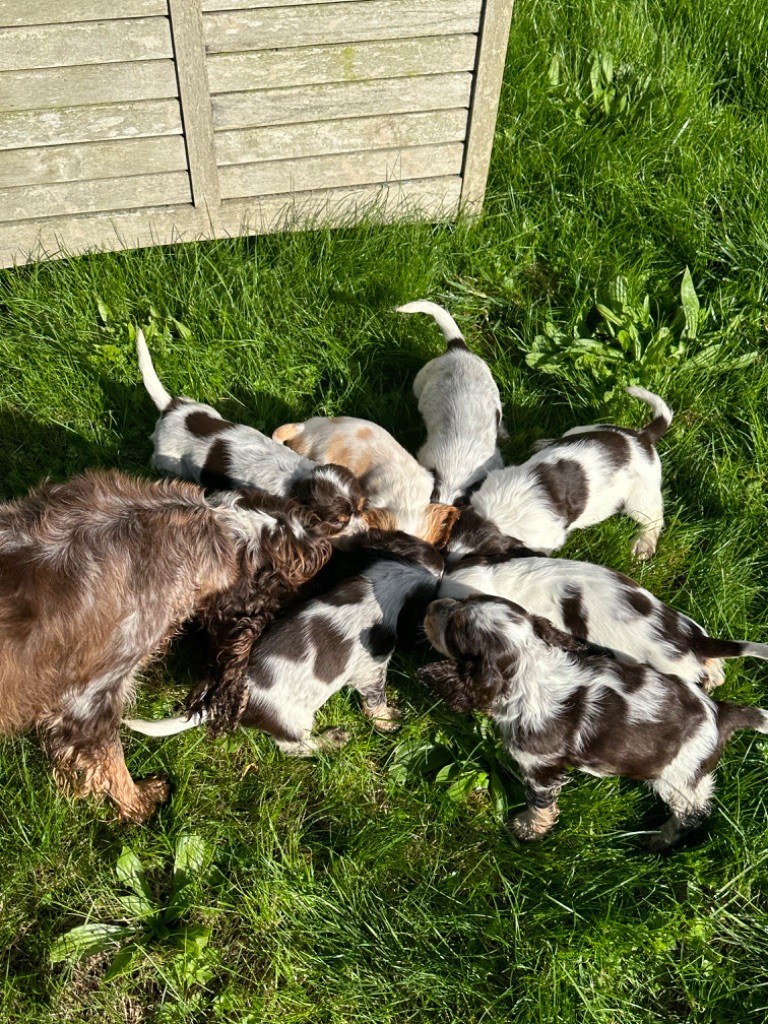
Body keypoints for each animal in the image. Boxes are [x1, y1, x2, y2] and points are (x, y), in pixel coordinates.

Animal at [126, 532, 448, 757]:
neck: (387, 578)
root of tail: (219, 706)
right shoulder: (371, 670)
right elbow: (376, 700)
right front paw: (389, 720)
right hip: (294, 720)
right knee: (294, 748)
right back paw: (333, 740)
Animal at [421, 593, 768, 847]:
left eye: (453, 630)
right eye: (465, 600)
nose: (431, 605)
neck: (531, 670)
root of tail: (722, 714)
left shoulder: (540, 767)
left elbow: (539, 805)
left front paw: (526, 829)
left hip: (678, 778)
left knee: (695, 809)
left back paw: (660, 838)